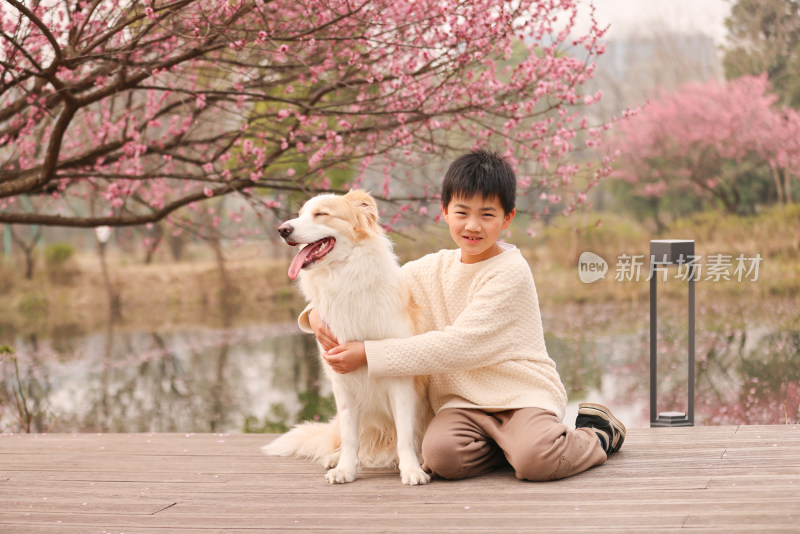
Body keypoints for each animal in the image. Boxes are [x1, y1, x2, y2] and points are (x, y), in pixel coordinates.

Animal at [262, 191, 432, 488]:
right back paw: (335, 458)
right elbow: (351, 438)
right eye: (300, 214)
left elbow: (404, 436)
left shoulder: (400, 382)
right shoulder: (341, 383)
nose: (282, 230)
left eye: (321, 214)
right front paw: (345, 469)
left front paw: (411, 469)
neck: (345, 279)